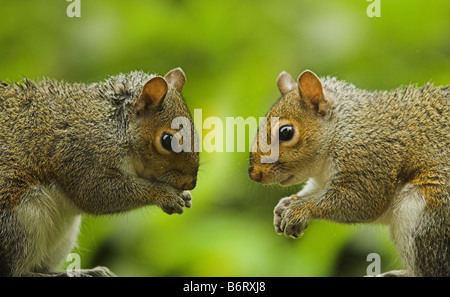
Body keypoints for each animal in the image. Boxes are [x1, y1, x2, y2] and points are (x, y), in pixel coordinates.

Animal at [0, 67, 199, 276]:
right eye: (167, 140)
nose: (190, 183)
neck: (114, 127)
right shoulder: (84, 155)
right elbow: (96, 193)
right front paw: (166, 195)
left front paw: (185, 196)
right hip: (18, 224)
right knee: (15, 271)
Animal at [250, 69, 450, 276]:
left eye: (286, 132)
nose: (254, 173)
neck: (343, 129)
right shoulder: (322, 180)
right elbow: (312, 191)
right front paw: (284, 205)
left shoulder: (371, 161)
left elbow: (361, 199)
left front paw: (301, 209)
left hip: (427, 216)